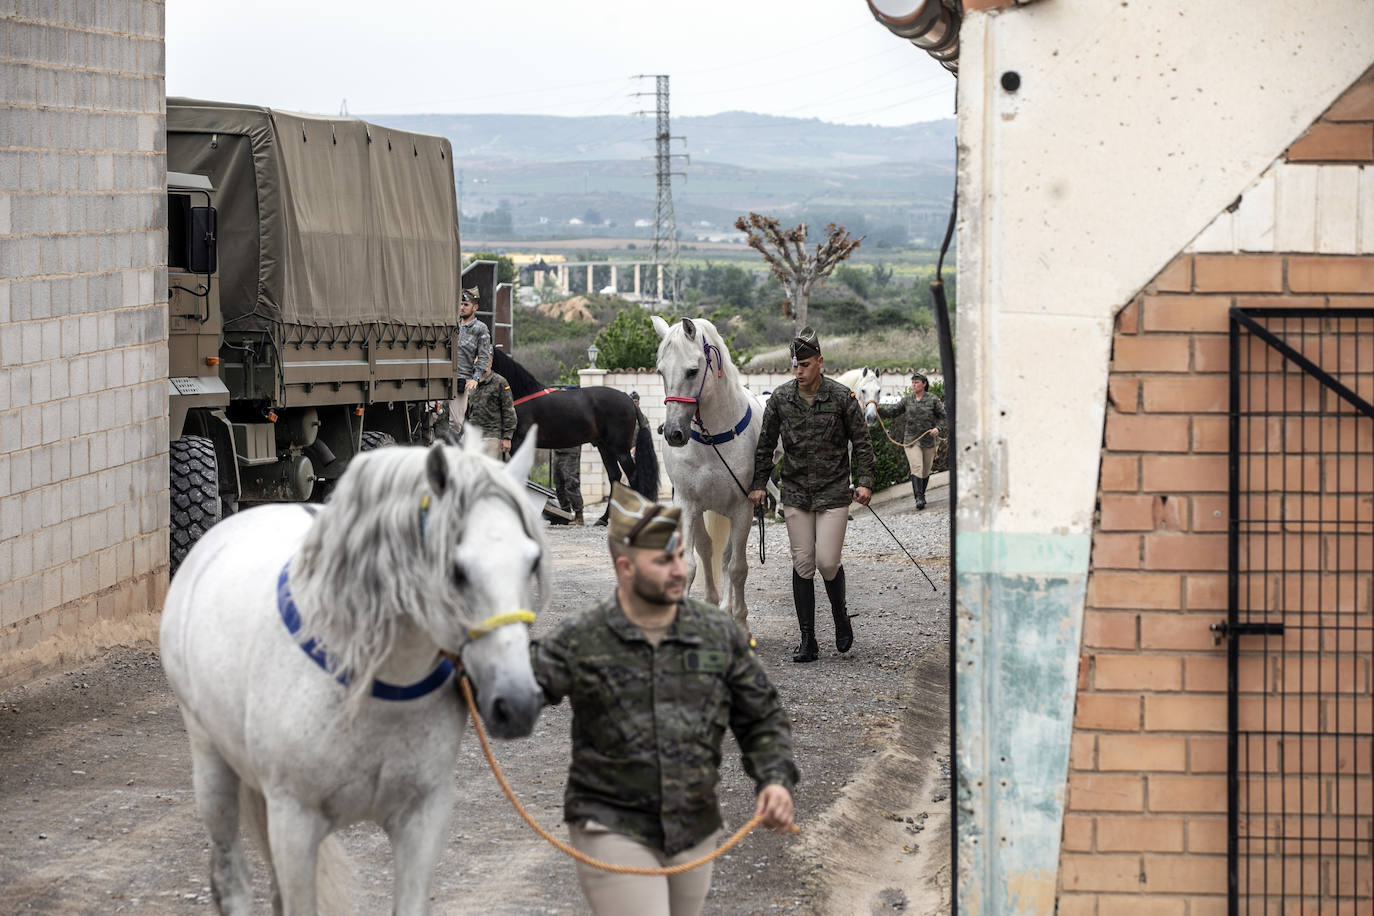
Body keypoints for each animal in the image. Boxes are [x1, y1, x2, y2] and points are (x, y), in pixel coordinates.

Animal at [160, 431, 546, 916]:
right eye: (457, 570)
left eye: (531, 561)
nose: (517, 703)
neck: (373, 684)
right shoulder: (295, 823)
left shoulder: (423, 819)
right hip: (212, 766)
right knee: (231, 877)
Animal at [651, 317, 763, 631]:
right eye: (661, 371)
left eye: (692, 370)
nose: (673, 433)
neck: (713, 439)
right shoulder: (687, 505)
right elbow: (689, 565)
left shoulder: (743, 509)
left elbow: (737, 568)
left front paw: (741, 621)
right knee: (707, 550)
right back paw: (714, 604)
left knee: (728, 559)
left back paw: (728, 609)